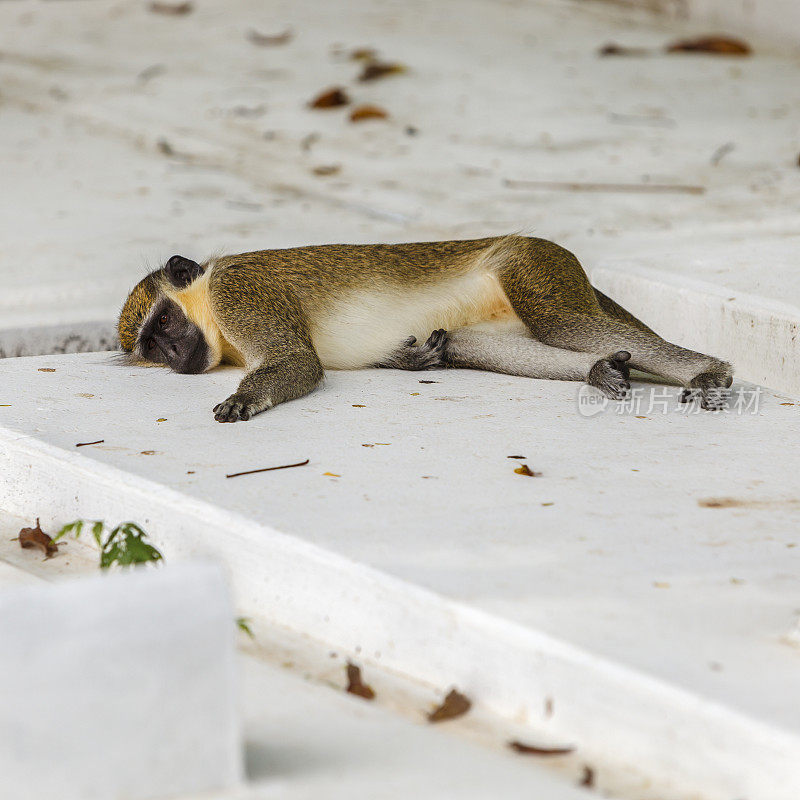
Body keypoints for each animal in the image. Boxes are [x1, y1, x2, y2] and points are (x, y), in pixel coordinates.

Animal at [115, 236, 736, 424]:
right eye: (150, 345)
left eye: (164, 321)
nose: (174, 351)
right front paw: (408, 359)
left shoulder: (240, 292)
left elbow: (298, 363)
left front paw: (243, 402)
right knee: (482, 344)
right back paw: (597, 368)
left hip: (533, 265)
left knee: (566, 322)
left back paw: (707, 369)